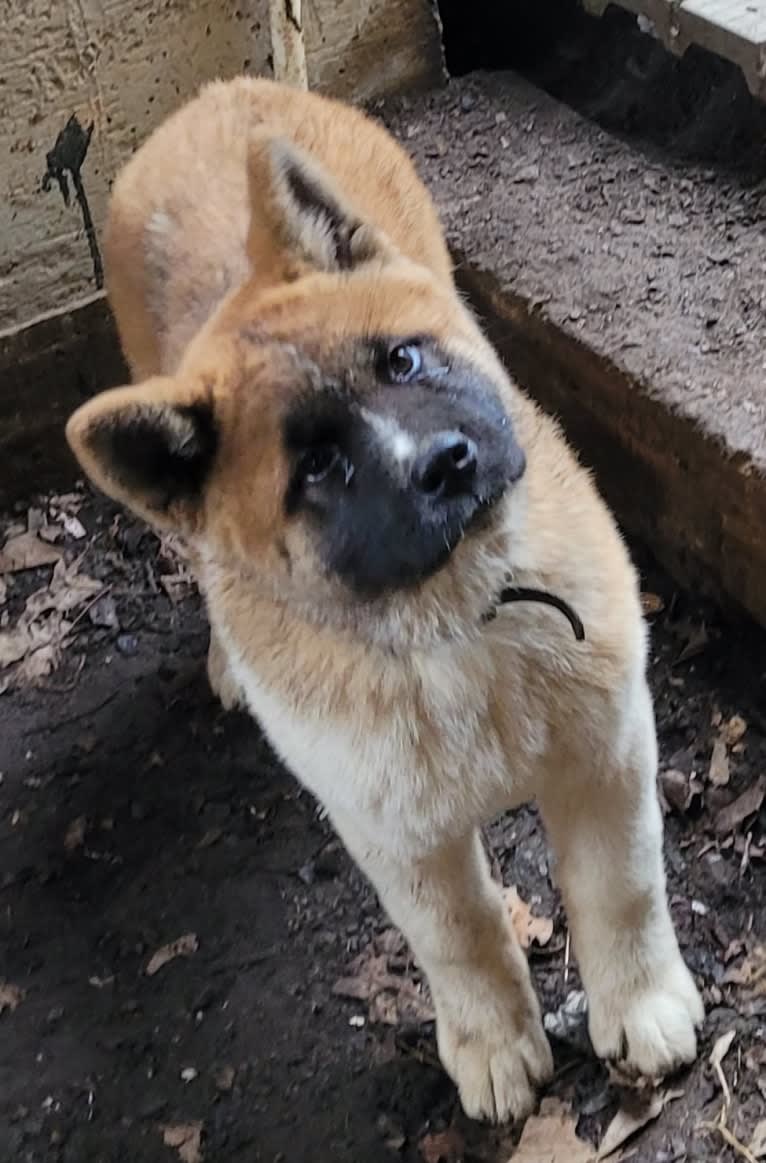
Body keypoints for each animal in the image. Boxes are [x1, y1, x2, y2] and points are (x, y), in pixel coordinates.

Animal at [65, 77, 702, 1121]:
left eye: (400, 361)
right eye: (317, 468)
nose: (447, 465)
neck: (457, 619)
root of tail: (221, 94)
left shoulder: (606, 751)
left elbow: (623, 888)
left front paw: (641, 1006)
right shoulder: (395, 833)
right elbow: (462, 937)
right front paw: (493, 1043)